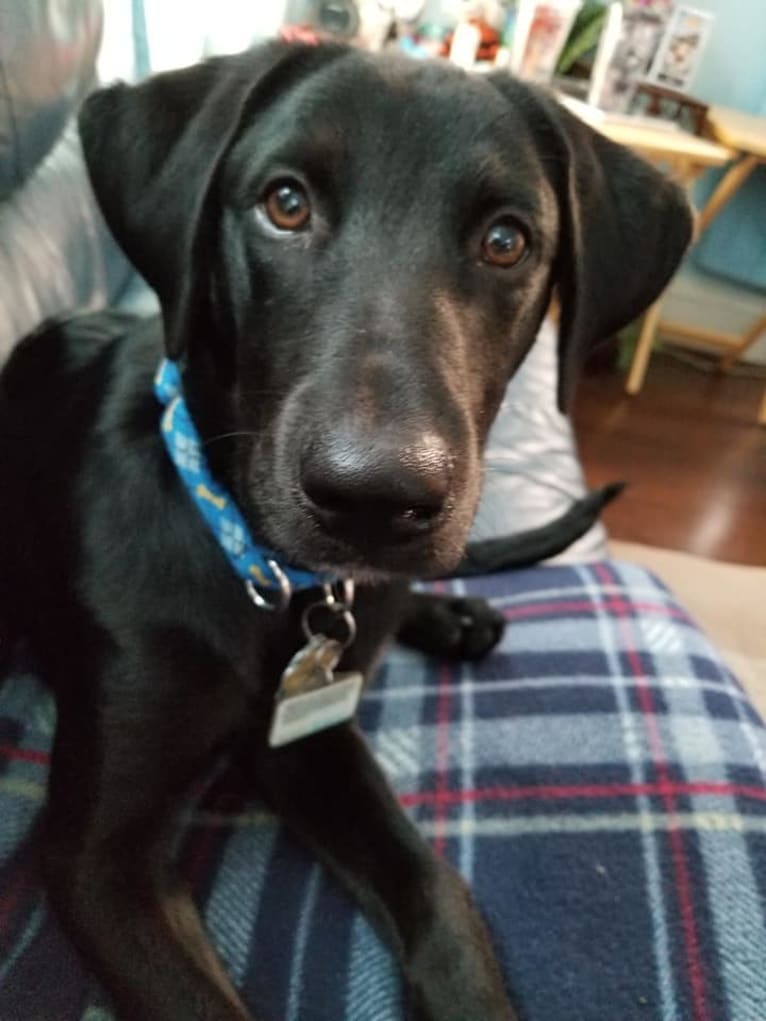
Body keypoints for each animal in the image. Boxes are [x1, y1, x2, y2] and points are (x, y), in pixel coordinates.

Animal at [0, 39, 694, 1021]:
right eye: (285, 203)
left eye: (507, 240)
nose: (375, 499)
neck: (271, 581)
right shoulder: (100, 859)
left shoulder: (312, 743)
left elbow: (441, 893)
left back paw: (450, 616)